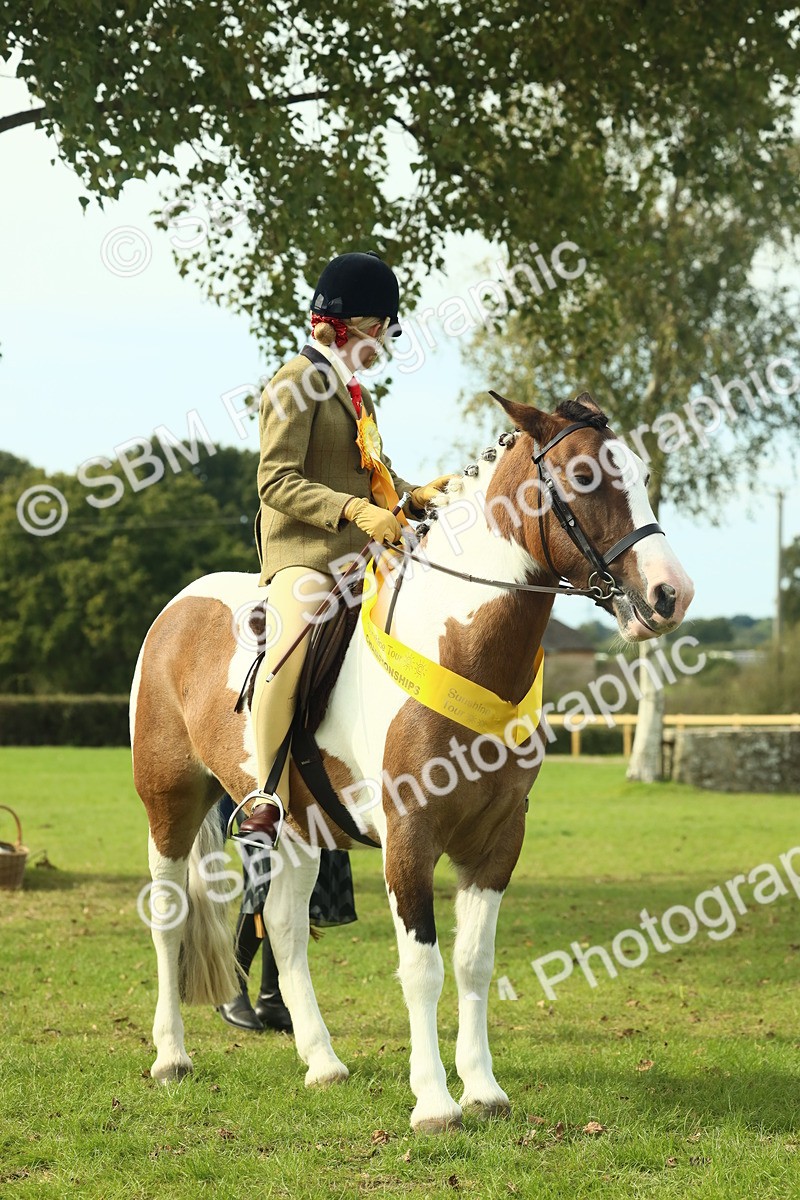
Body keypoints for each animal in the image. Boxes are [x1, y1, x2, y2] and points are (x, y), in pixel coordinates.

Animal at [130, 391, 694, 1134]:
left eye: (644, 473)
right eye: (585, 477)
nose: (670, 594)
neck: (456, 644)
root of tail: (178, 604)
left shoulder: (497, 839)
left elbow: (474, 962)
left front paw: (482, 1089)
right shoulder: (410, 836)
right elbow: (422, 967)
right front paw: (433, 1101)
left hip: (298, 826)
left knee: (284, 926)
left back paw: (322, 1062)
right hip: (170, 801)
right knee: (169, 917)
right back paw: (171, 1057)